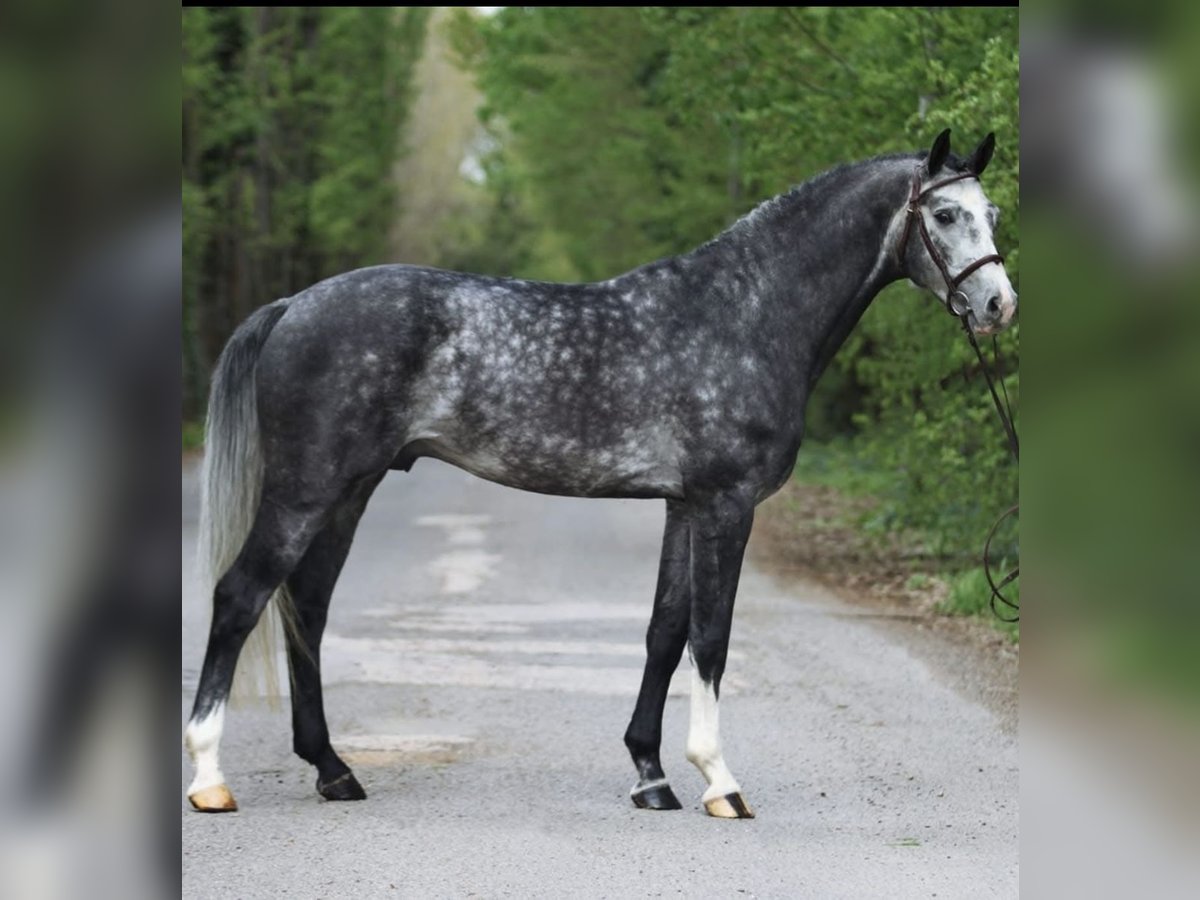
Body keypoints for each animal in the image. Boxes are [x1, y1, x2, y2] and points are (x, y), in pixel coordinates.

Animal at [184, 129, 1017, 818]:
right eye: (945, 216)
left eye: (994, 213)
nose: (997, 304)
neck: (746, 313)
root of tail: (293, 305)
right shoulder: (726, 505)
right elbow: (712, 637)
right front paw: (720, 782)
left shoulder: (684, 506)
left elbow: (664, 632)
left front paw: (652, 777)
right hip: (306, 490)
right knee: (240, 597)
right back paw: (211, 781)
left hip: (349, 492)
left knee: (306, 608)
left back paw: (333, 770)